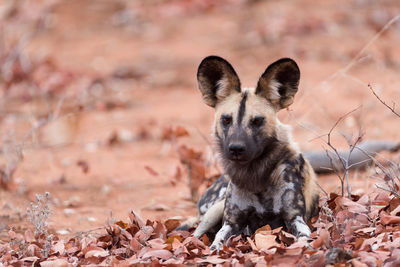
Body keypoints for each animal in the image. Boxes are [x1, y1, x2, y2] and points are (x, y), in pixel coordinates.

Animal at [180, 55, 320, 252]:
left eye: (257, 121)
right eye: (226, 120)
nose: (236, 148)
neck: (255, 174)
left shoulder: (296, 219)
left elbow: (304, 239)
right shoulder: (230, 223)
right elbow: (216, 244)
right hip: (213, 211)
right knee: (195, 233)